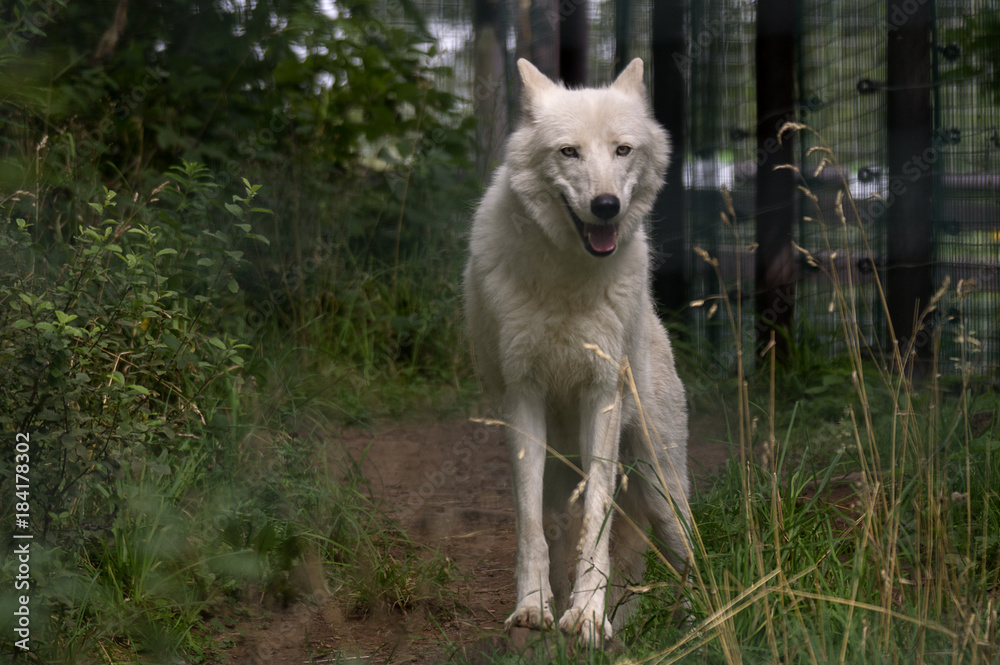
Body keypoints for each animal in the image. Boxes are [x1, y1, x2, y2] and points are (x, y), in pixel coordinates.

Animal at [463, 58, 690, 645]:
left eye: (622, 150)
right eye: (569, 152)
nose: (606, 206)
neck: (568, 277)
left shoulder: (602, 393)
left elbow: (598, 519)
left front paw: (587, 617)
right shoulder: (522, 395)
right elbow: (528, 527)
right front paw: (534, 610)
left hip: (661, 487)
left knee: (690, 560)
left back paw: (695, 625)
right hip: (567, 476)